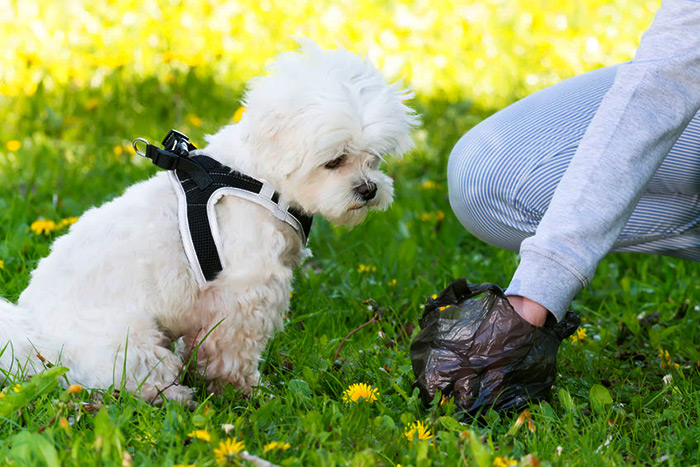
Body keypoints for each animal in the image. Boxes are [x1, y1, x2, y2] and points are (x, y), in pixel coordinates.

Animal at [0, 42, 418, 404]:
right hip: (128, 344)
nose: (368, 189)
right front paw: (242, 391)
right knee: (137, 379)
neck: (259, 179)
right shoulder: (244, 293)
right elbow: (231, 352)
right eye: (335, 161)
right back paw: (176, 396)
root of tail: (34, 339)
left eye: (374, 158)